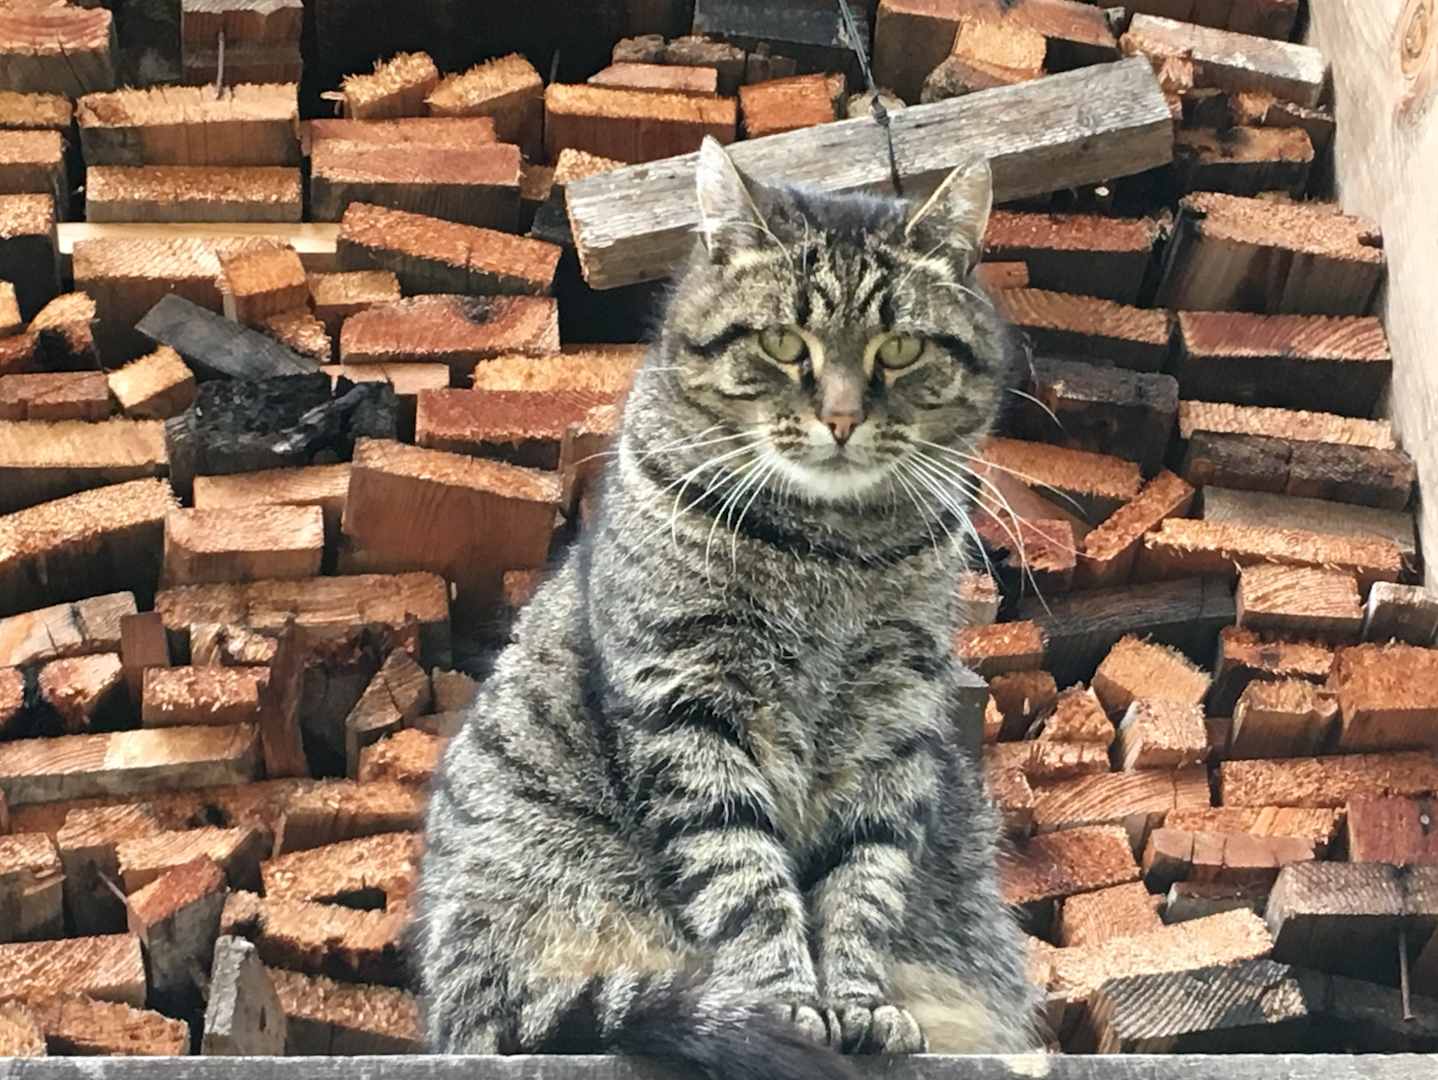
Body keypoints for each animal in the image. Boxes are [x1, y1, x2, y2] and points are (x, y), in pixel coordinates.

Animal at [415, 136, 1038, 1079]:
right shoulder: (689, 702)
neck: (831, 549)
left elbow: (866, 879)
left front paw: (860, 1003)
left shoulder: (893, 721)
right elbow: (743, 875)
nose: (842, 418)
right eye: (785, 343)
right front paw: (788, 1006)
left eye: (898, 349)